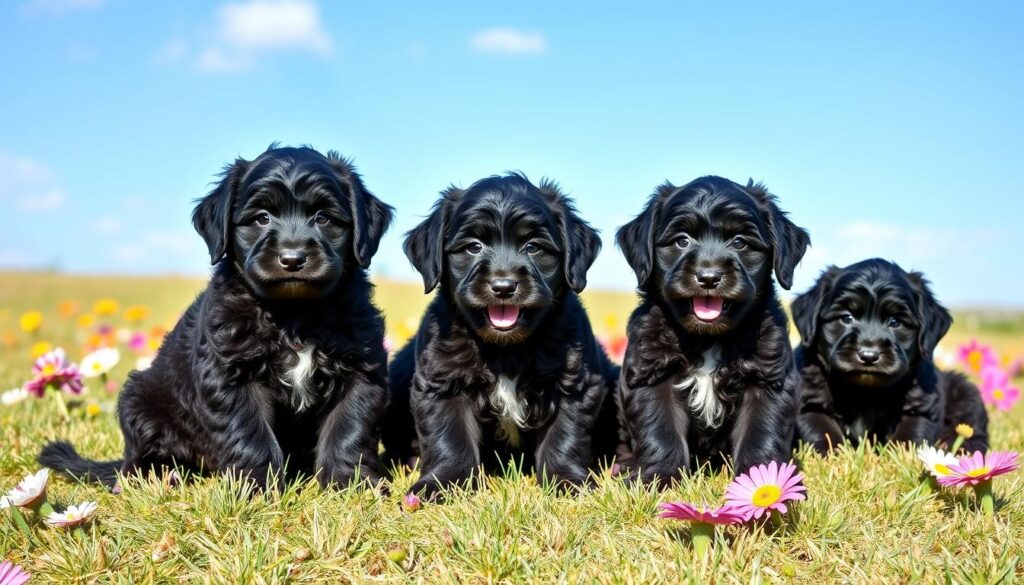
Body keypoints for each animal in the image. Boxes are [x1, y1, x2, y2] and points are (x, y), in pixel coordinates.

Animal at [39, 145, 393, 489]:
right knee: (136, 462)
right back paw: (160, 475)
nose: (292, 258)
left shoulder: (361, 367)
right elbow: (250, 432)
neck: (294, 315)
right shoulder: (230, 374)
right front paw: (255, 487)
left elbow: (348, 427)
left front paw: (352, 484)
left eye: (323, 218)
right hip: (139, 399)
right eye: (262, 218)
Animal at [380, 174, 618, 499]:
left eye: (533, 247)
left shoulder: (575, 383)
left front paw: (568, 481)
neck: (507, 349)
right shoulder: (442, 383)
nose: (503, 286)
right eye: (473, 246)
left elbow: (565, 435)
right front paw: (443, 483)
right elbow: (449, 437)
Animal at [610, 175, 811, 485]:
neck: (708, 339)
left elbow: (760, 432)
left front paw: (764, 481)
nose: (708, 276)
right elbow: (660, 430)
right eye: (682, 241)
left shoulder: (767, 379)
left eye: (740, 242)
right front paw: (657, 479)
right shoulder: (651, 373)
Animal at [786, 258, 987, 454]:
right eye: (846, 318)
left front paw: (900, 457)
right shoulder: (810, 400)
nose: (869, 355)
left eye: (895, 322)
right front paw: (834, 454)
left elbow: (909, 434)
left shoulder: (921, 404)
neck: (865, 391)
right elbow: (822, 430)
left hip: (965, 391)